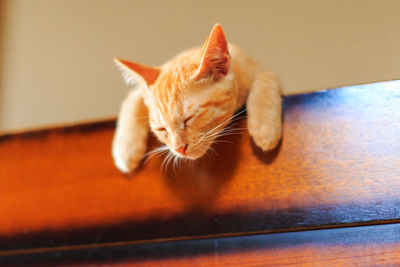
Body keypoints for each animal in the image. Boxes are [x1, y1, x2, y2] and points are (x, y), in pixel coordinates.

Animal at [111, 24, 282, 175]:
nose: (179, 149)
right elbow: (132, 98)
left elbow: (266, 75)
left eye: (188, 119)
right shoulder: (138, 94)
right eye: (161, 129)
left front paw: (265, 128)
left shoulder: (259, 70)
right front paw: (126, 149)